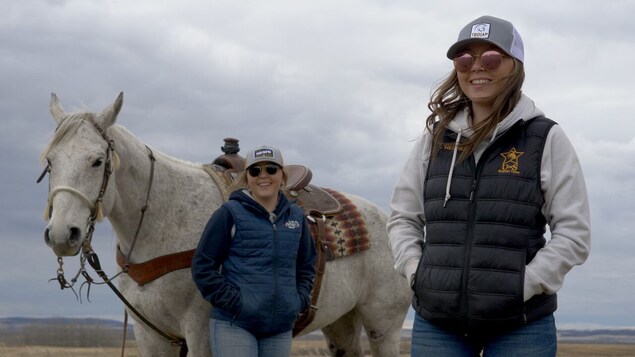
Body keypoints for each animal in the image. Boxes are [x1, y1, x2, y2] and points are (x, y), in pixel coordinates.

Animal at [42, 92, 412, 356]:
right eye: (50, 161)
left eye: (97, 161)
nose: (62, 234)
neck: (164, 222)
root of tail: (386, 221)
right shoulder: (152, 337)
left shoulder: (201, 334)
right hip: (340, 323)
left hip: (383, 326)